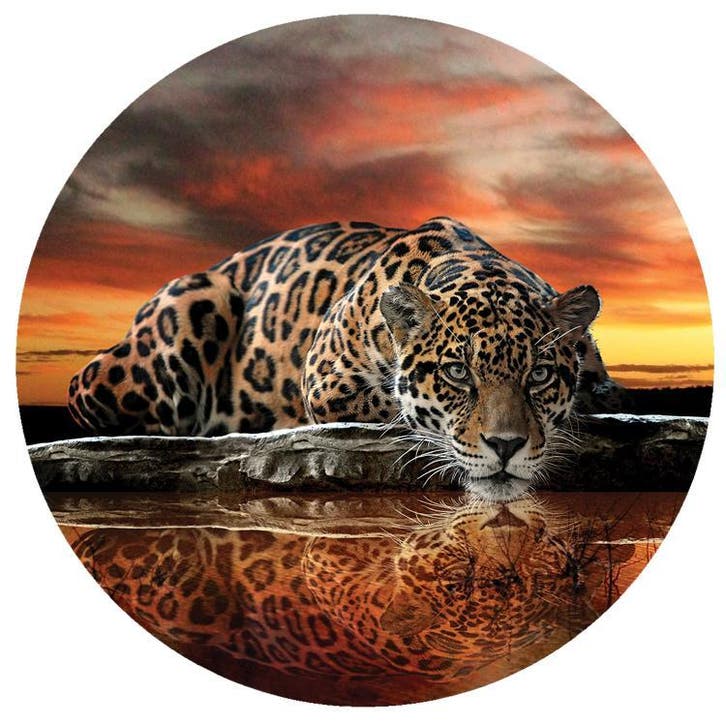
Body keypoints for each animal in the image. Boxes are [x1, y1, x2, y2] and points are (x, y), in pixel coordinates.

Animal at [68, 216, 626, 501]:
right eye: (456, 373)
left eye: (539, 375)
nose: (507, 447)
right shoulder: (325, 379)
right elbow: (397, 407)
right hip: (188, 308)